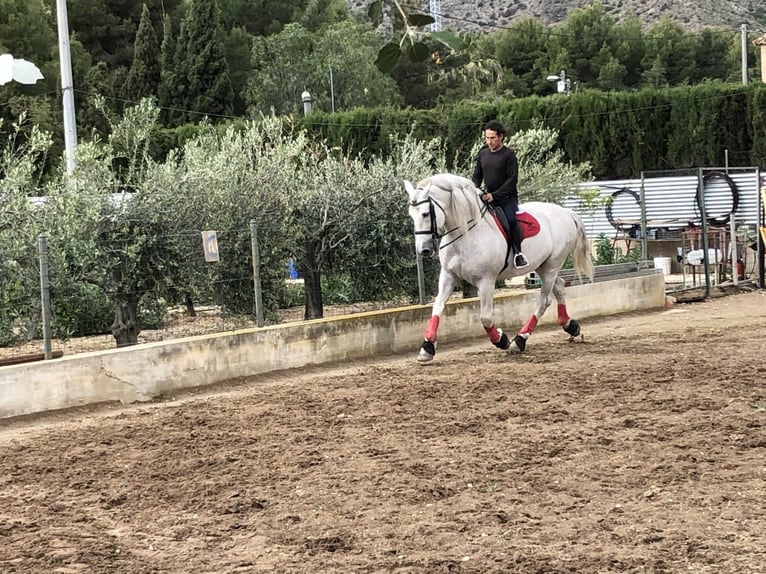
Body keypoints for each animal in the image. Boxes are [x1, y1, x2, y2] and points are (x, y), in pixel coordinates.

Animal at [404, 176, 596, 362]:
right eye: (411, 215)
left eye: (425, 213)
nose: (423, 250)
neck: (466, 234)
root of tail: (565, 212)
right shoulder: (448, 276)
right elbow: (437, 307)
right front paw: (427, 347)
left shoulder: (486, 281)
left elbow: (485, 317)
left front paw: (501, 340)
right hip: (542, 266)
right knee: (560, 287)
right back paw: (570, 325)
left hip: (552, 266)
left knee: (544, 301)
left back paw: (519, 341)